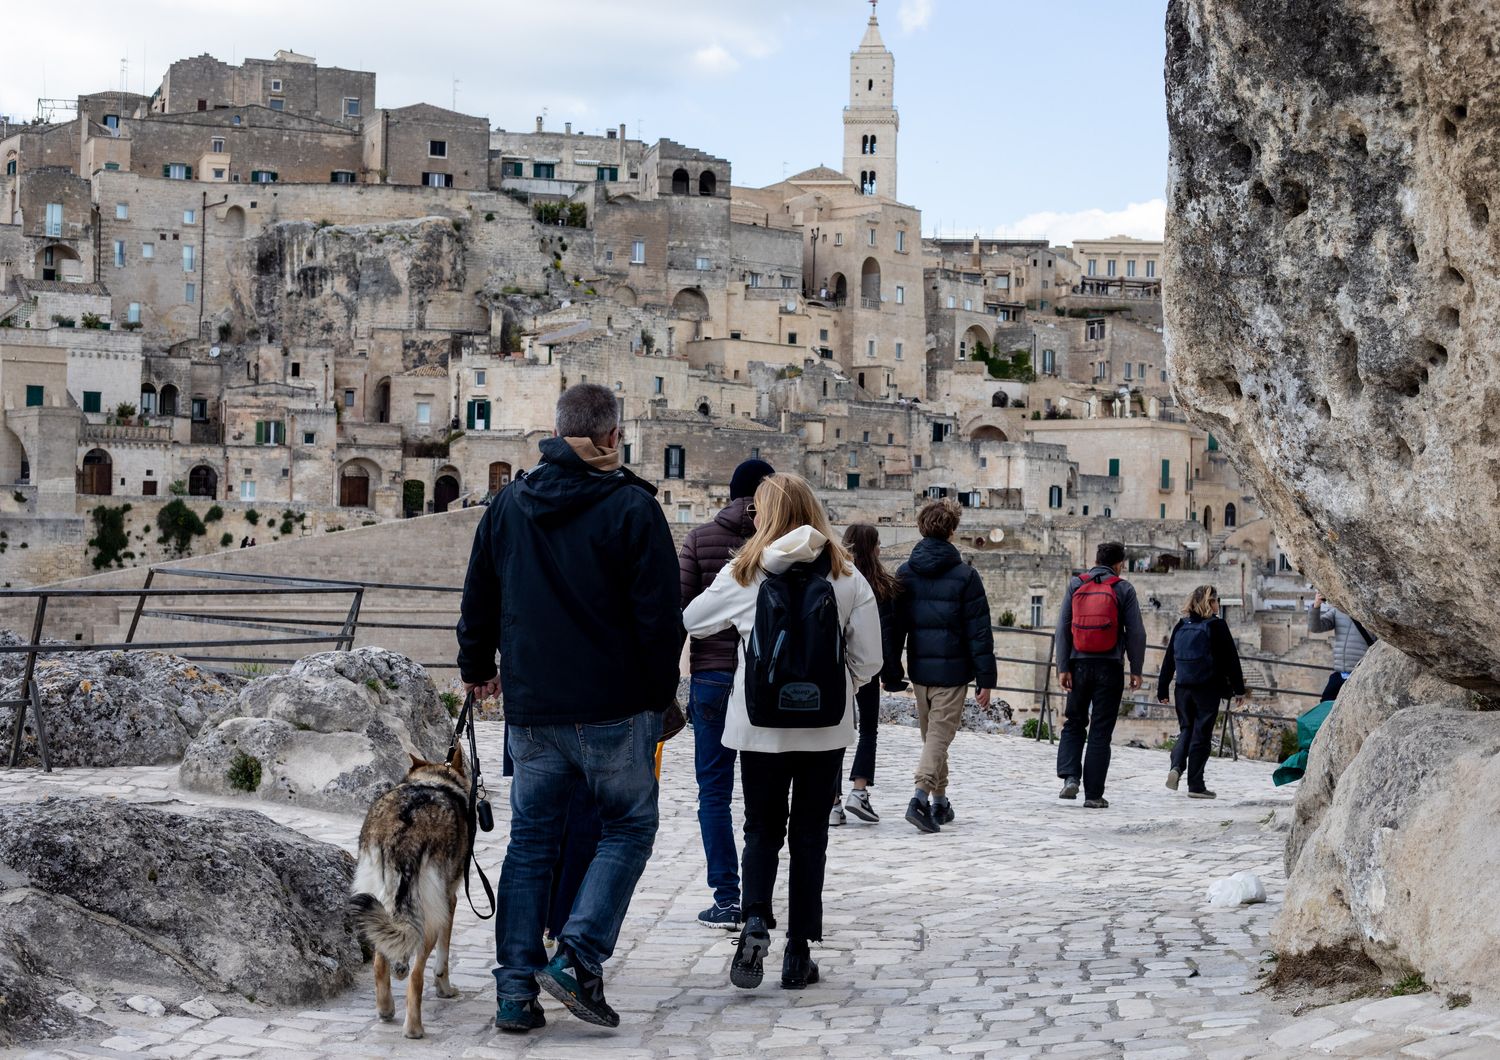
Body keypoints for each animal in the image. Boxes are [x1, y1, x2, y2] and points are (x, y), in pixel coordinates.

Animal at [351, 749, 468, 1043]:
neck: (435, 779)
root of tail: (405, 828)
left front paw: (399, 966)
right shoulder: (450, 901)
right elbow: (443, 959)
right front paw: (445, 989)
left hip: (378, 898)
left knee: (379, 962)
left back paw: (386, 1009)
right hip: (430, 918)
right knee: (417, 978)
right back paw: (414, 1029)